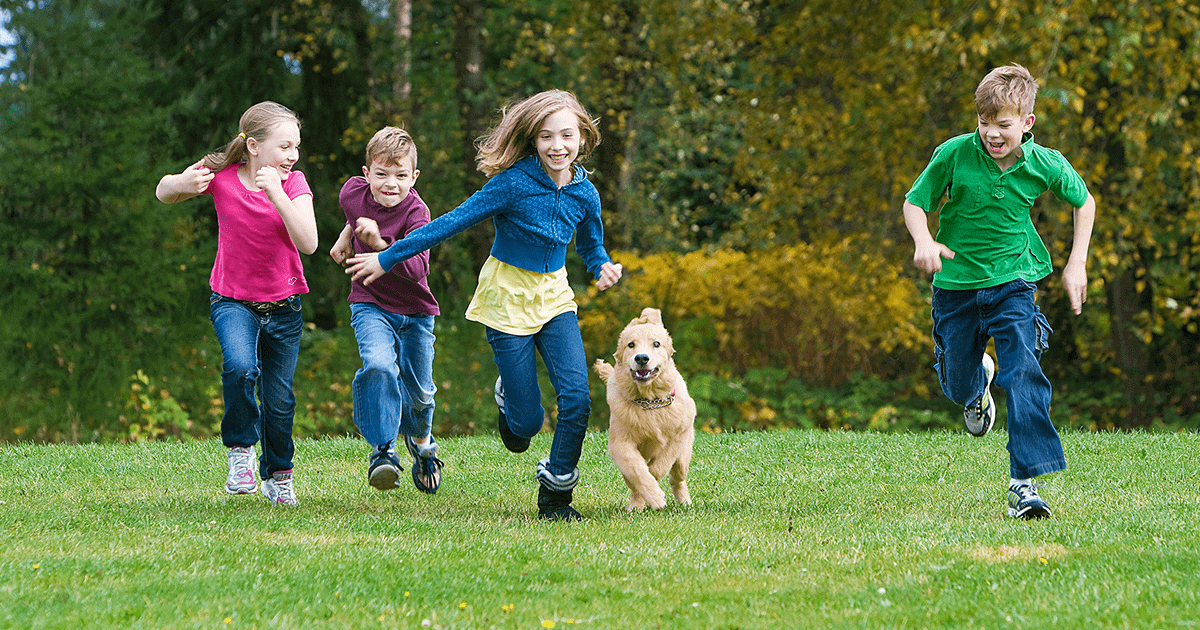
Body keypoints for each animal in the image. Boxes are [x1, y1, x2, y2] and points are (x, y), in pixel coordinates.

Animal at [590, 307, 696, 508]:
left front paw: (655, 493)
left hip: (683, 455)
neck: (649, 401)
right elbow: (638, 471)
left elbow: (659, 466)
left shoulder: (676, 437)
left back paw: (684, 501)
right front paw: (653, 497)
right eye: (631, 345)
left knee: (677, 477)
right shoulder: (620, 444)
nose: (641, 358)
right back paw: (636, 506)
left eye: (656, 344)